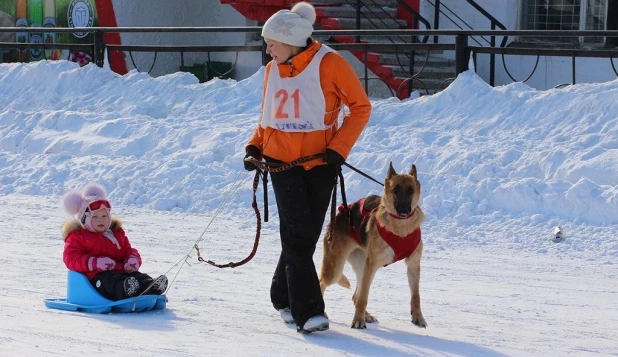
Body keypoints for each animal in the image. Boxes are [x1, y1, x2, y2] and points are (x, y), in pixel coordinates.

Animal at [318, 163, 424, 326]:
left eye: (410, 191)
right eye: (395, 190)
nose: (404, 210)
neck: (400, 228)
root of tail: (338, 215)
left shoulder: (413, 265)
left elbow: (416, 296)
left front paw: (418, 317)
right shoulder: (372, 265)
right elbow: (363, 298)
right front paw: (357, 320)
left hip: (361, 267)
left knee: (355, 296)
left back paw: (366, 316)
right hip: (336, 270)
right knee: (323, 284)